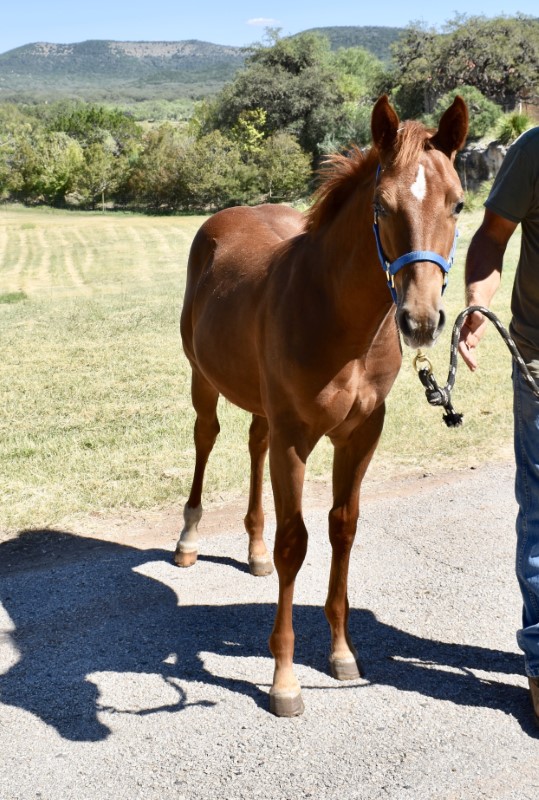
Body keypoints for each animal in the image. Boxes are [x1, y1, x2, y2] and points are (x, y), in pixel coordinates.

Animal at [176, 97, 468, 716]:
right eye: (382, 206)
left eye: (457, 203)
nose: (420, 320)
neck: (339, 319)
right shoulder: (296, 435)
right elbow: (296, 543)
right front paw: (284, 679)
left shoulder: (361, 435)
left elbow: (343, 529)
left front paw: (340, 652)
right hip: (202, 378)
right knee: (206, 437)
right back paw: (188, 540)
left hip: (262, 404)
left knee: (254, 444)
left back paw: (253, 549)